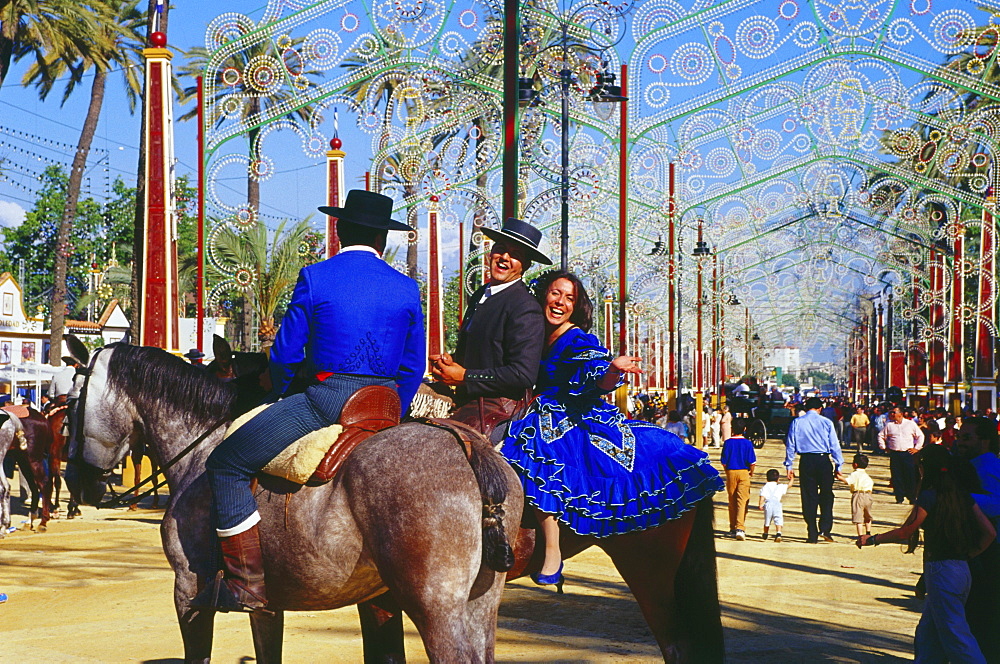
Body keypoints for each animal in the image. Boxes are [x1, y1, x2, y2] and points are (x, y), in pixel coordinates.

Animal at [64, 342, 524, 664]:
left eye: (71, 403)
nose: (78, 484)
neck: (202, 447)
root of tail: (468, 444)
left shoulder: (189, 589)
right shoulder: (268, 605)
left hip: (435, 608)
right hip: (480, 607)